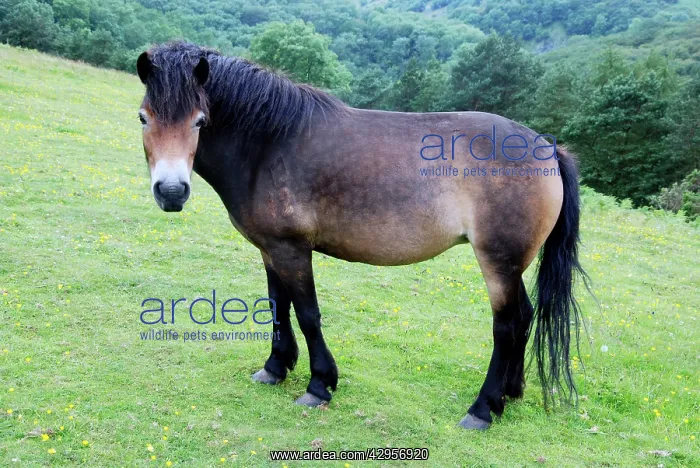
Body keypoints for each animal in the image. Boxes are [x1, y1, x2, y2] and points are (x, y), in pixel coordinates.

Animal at [135, 42, 589, 430]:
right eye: (144, 117)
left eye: (200, 121)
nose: (171, 192)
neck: (268, 143)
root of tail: (548, 149)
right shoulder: (270, 249)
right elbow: (278, 306)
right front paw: (275, 368)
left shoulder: (292, 250)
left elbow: (308, 314)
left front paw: (319, 385)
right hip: (511, 266)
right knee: (525, 316)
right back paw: (511, 393)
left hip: (498, 262)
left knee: (507, 325)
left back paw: (482, 408)